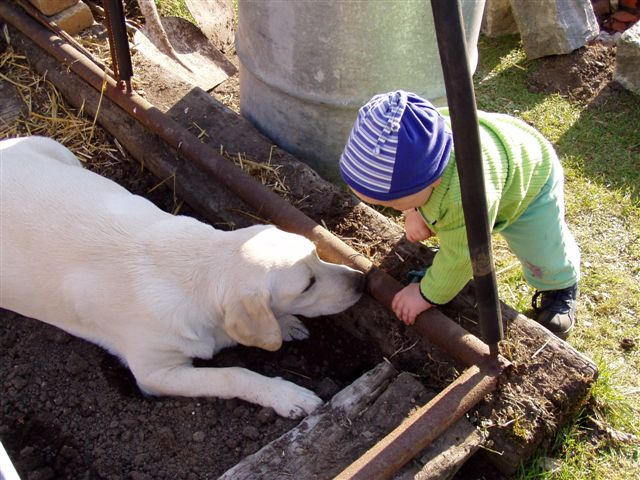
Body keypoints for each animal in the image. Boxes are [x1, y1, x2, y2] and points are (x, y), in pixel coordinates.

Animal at [0, 137, 364, 418]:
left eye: (316, 253)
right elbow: (233, 374)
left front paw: (284, 324)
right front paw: (286, 395)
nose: (362, 281)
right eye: (307, 285)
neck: (200, 266)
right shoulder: (155, 373)